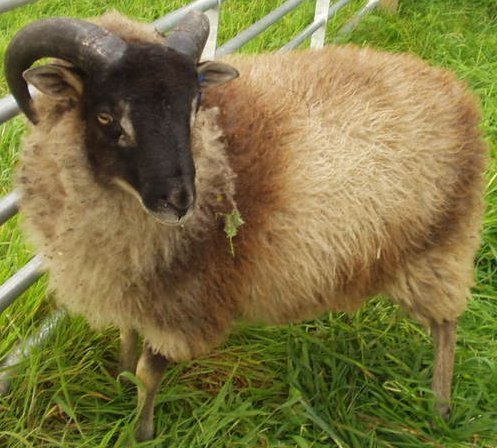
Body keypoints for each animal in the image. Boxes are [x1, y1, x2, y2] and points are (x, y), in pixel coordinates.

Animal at [3, 9, 484, 440]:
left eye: (194, 107)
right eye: (105, 116)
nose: (180, 201)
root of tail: (452, 86)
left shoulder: (186, 300)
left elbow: (149, 371)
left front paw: (141, 431)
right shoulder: (133, 282)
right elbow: (126, 339)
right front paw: (120, 383)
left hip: (442, 245)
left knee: (446, 326)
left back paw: (440, 409)